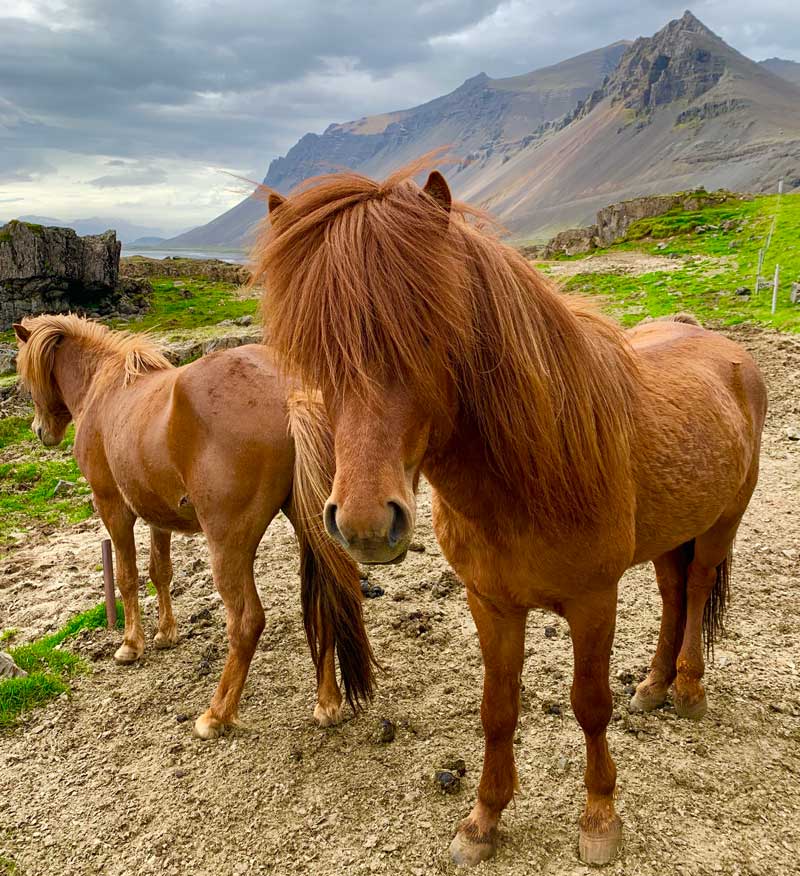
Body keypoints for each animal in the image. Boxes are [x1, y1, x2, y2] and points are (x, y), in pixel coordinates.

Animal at [11, 314, 376, 740]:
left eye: (26, 377)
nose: (40, 431)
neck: (103, 389)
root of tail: (290, 393)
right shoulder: (158, 514)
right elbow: (160, 572)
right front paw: (165, 634)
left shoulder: (113, 507)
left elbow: (127, 577)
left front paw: (131, 644)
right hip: (311, 528)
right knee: (323, 604)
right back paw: (328, 704)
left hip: (227, 545)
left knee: (247, 622)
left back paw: (216, 714)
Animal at [256, 161, 768, 864]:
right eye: (307, 349)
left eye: (427, 333)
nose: (363, 524)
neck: (528, 477)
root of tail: (728, 352)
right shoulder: (490, 602)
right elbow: (496, 709)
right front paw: (482, 821)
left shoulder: (593, 600)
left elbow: (589, 704)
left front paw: (600, 819)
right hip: (672, 530)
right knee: (671, 591)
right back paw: (655, 685)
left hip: (721, 523)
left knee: (695, 587)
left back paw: (688, 689)